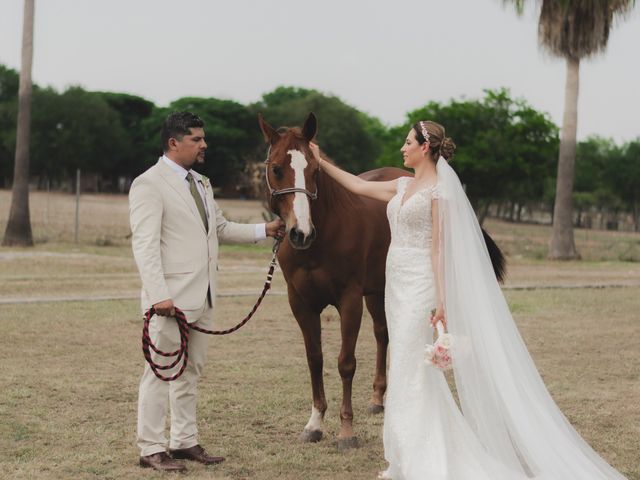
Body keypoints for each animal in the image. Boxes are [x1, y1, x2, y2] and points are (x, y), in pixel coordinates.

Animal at [256, 112, 504, 450]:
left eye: (314, 170)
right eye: (277, 168)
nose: (301, 233)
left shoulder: (349, 300)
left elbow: (345, 363)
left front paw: (347, 431)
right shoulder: (301, 303)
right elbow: (315, 359)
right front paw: (315, 424)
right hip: (376, 292)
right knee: (383, 334)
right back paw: (377, 399)